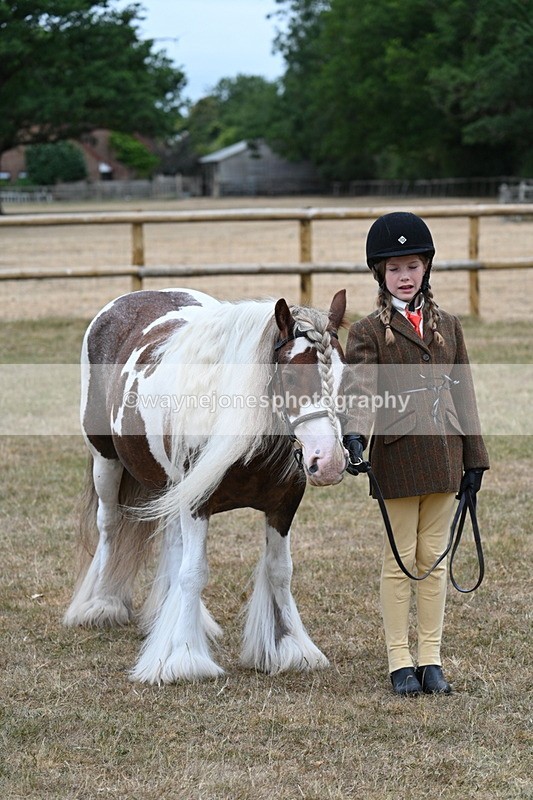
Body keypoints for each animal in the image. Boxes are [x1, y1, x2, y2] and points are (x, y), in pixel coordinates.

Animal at [64, 287, 350, 684]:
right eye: (291, 376)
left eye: (344, 375)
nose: (330, 462)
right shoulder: (196, 504)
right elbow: (194, 573)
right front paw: (185, 656)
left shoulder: (283, 506)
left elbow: (280, 571)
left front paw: (291, 648)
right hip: (106, 462)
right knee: (109, 525)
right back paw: (102, 604)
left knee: (173, 543)